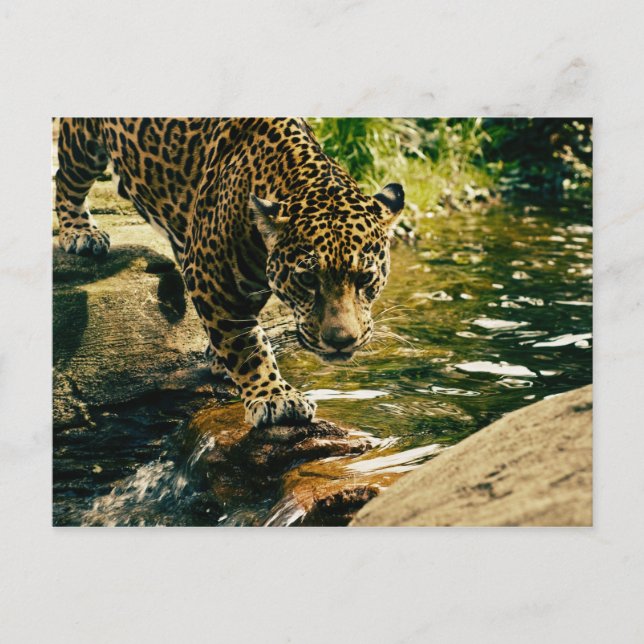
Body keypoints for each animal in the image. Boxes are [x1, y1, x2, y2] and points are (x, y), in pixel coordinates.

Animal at [55, 118, 404, 428]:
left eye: (364, 278)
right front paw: (274, 397)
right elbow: (247, 343)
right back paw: (80, 232)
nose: (341, 342)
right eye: (307, 279)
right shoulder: (211, 276)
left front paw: (220, 359)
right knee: (65, 177)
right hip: (82, 144)